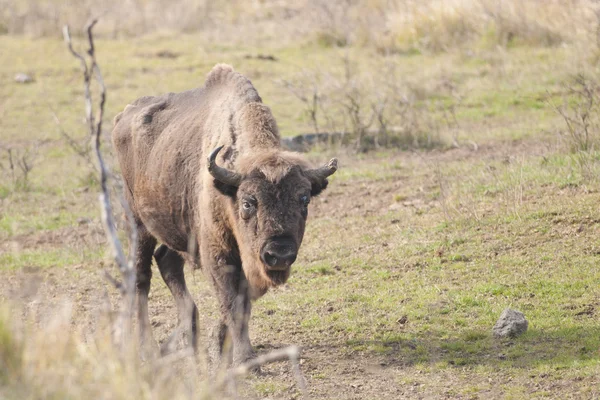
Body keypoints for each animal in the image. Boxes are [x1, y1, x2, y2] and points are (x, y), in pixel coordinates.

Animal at [111, 63, 338, 366]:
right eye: (248, 202)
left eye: (304, 200)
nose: (279, 254)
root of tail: (123, 116)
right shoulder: (219, 253)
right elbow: (232, 302)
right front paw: (244, 358)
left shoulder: (248, 261)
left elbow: (241, 302)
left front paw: (219, 346)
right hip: (138, 223)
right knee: (140, 278)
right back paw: (149, 349)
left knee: (167, 261)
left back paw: (188, 336)